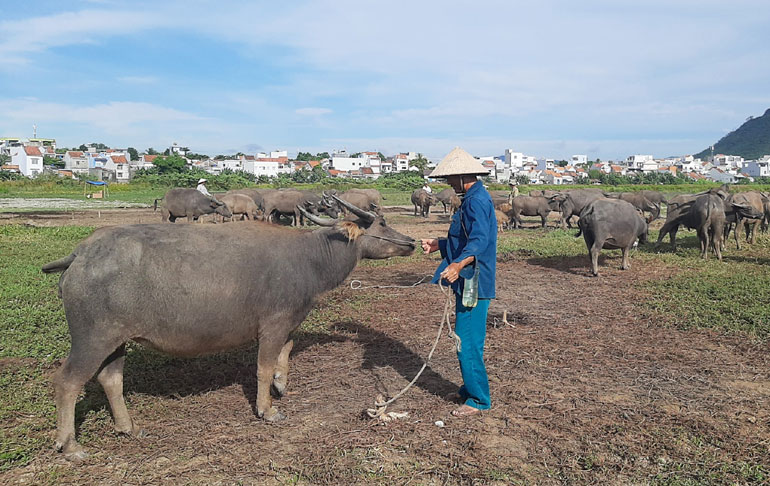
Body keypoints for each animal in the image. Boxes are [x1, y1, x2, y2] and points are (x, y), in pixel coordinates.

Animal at [42, 196, 414, 462]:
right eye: (382, 222)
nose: (411, 241)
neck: (310, 257)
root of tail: (81, 254)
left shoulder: (287, 324)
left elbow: (287, 351)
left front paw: (281, 384)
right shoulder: (273, 324)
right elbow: (263, 366)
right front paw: (267, 409)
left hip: (116, 340)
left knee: (111, 378)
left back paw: (128, 428)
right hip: (92, 338)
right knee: (68, 381)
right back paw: (70, 446)